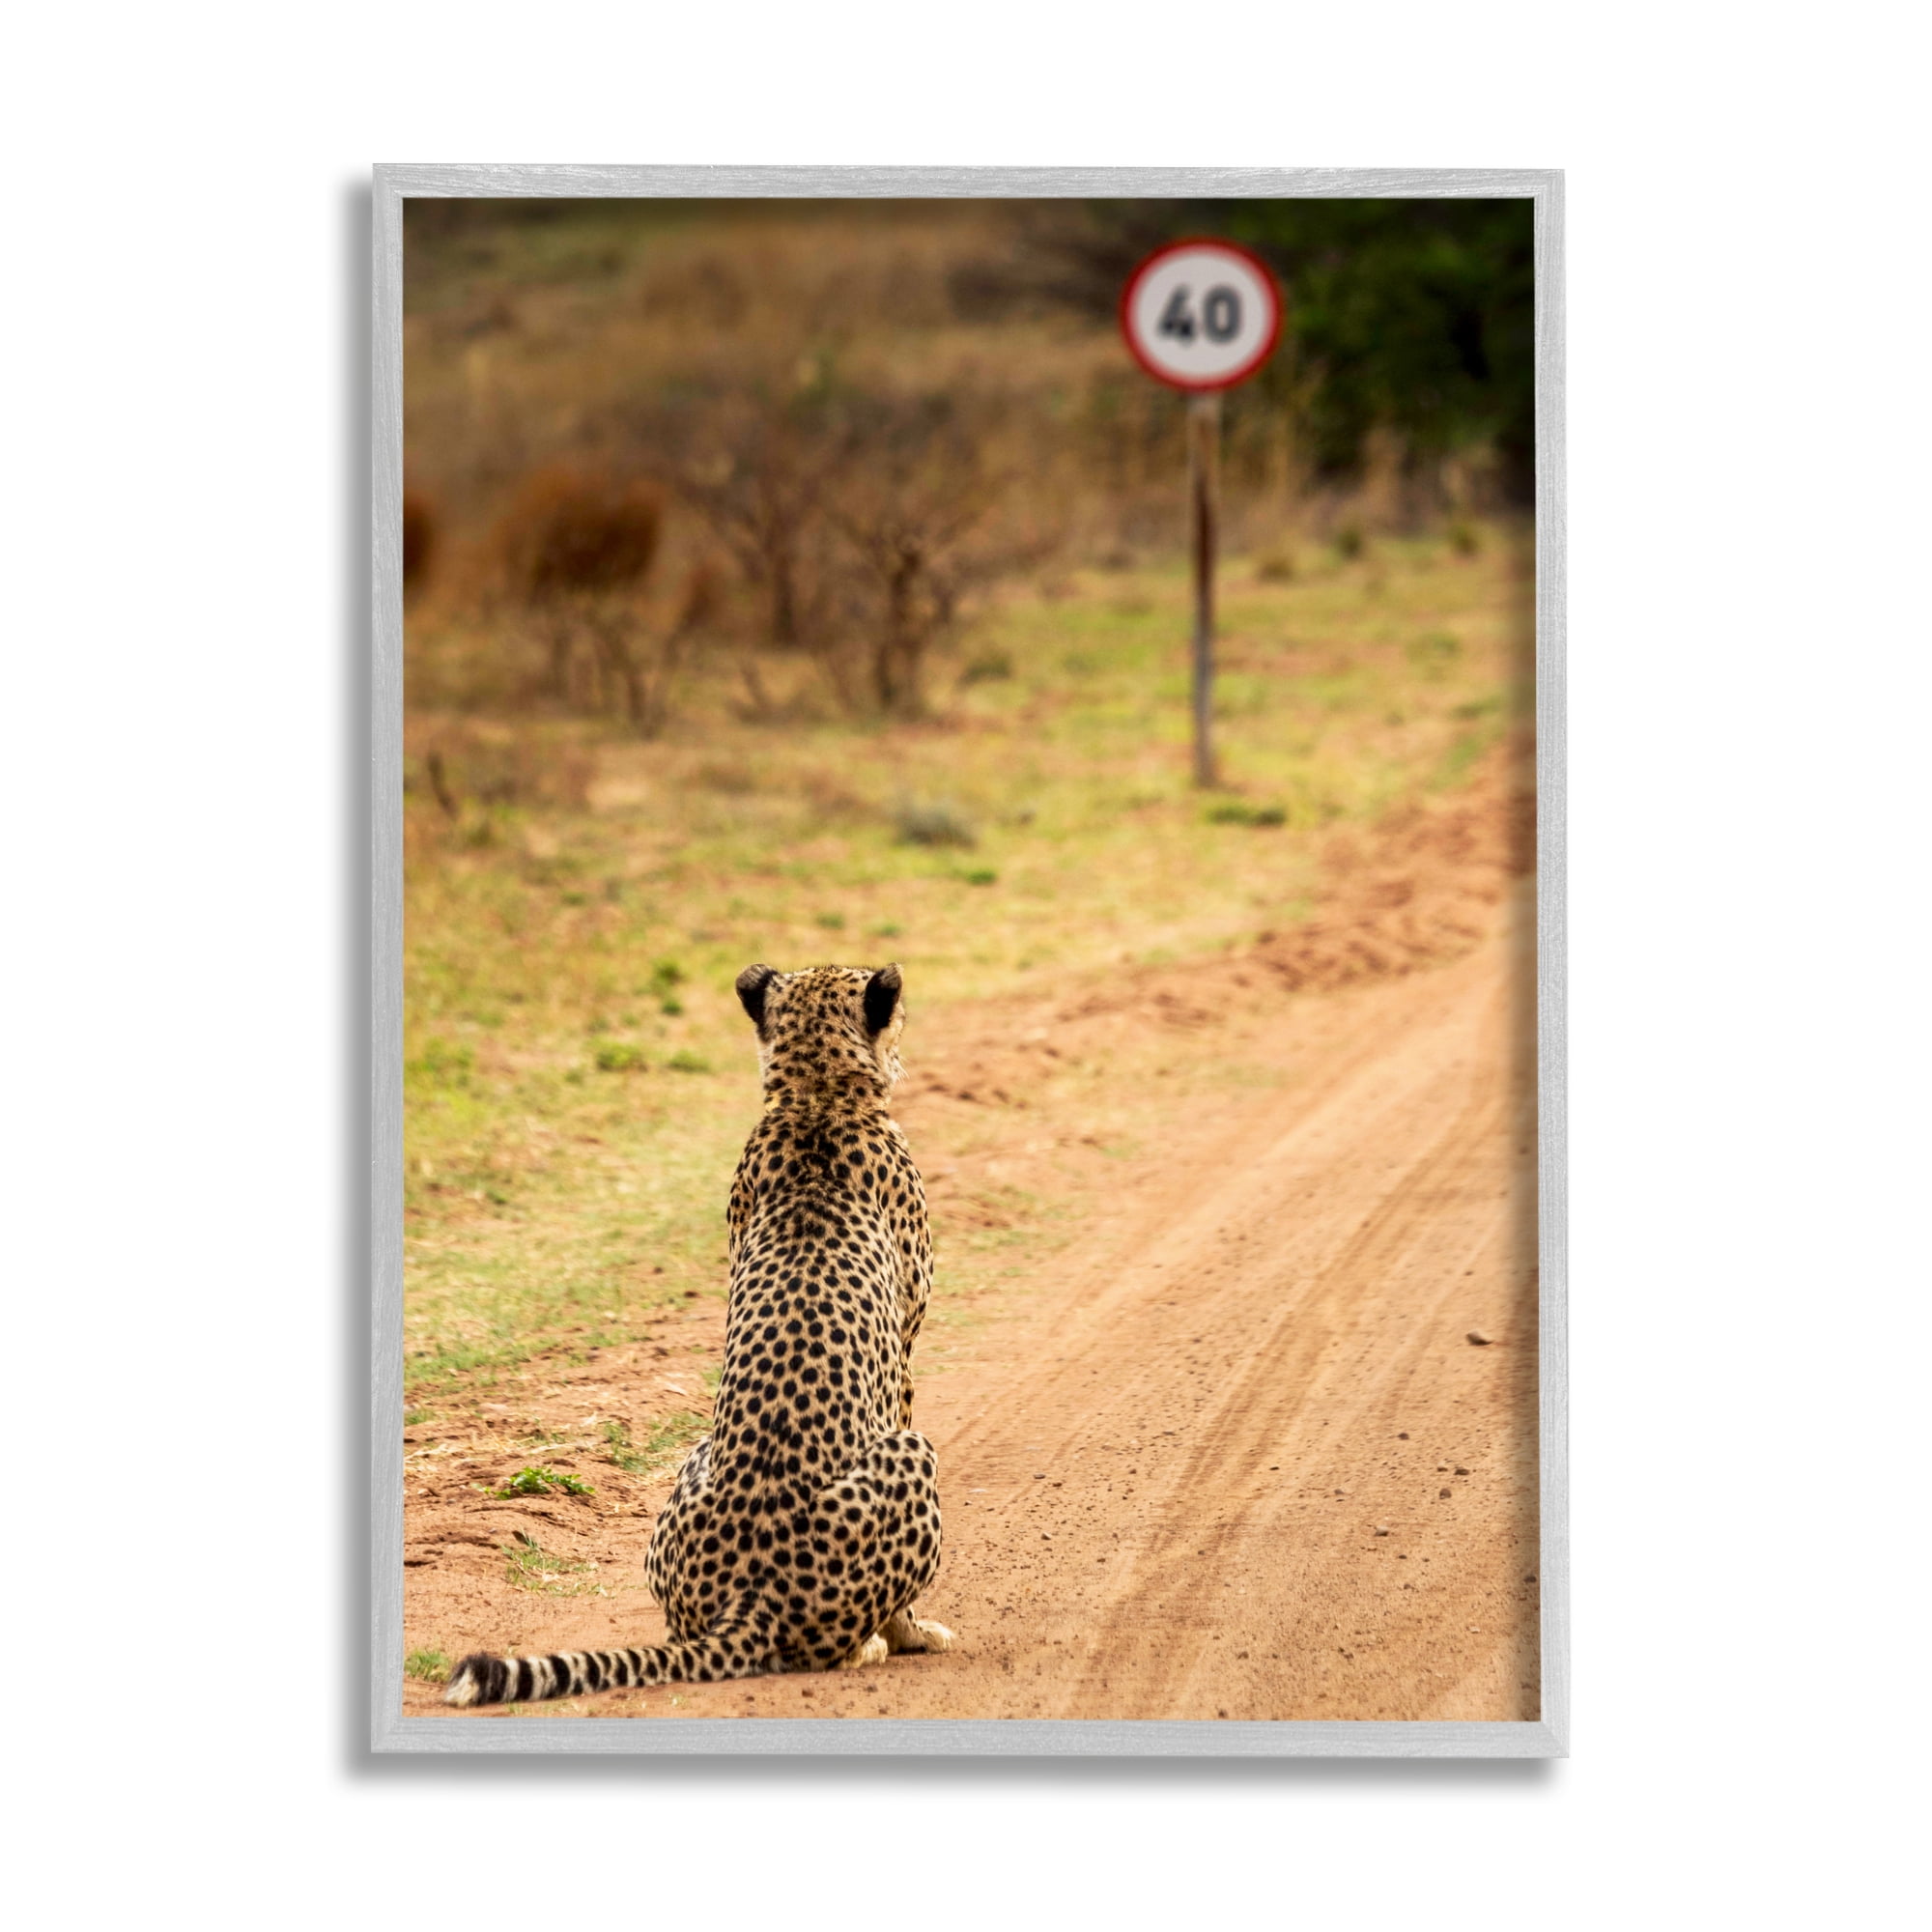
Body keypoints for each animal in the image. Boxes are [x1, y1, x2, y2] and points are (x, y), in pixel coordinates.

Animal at [444, 961, 955, 1707]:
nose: (909, 1045)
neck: (815, 1097)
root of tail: (749, 1599)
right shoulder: (905, 1357)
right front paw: (916, 1631)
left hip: (693, 1463)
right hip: (912, 1454)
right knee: (829, 1648)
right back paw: (871, 1645)